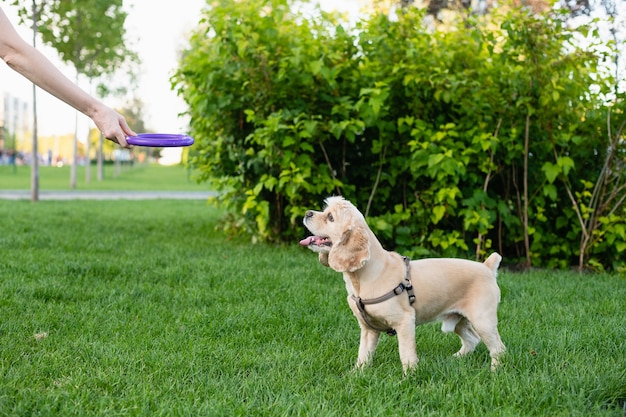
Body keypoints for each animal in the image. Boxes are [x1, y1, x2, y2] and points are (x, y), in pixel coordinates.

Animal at [300, 197, 504, 372]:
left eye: (330, 217)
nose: (307, 212)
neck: (361, 278)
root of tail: (487, 267)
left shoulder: (405, 321)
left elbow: (406, 354)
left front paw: (410, 376)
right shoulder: (368, 330)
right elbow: (363, 355)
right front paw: (356, 374)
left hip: (483, 320)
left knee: (498, 348)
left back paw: (494, 372)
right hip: (457, 320)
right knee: (472, 339)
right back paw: (456, 358)